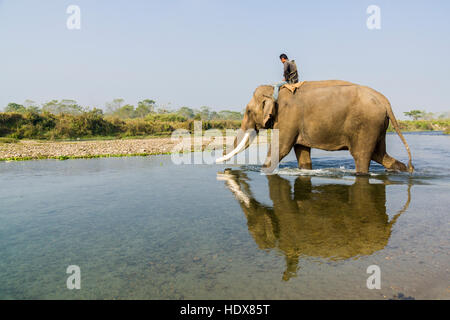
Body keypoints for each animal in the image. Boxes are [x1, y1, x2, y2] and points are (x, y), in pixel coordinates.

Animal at [216, 80, 414, 175]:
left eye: (248, 111)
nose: (220, 166)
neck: (275, 89)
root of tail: (385, 100)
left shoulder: (288, 117)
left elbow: (280, 149)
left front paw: (263, 171)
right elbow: (302, 152)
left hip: (366, 124)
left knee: (362, 156)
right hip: (377, 126)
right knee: (379, 154)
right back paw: (405, 170)